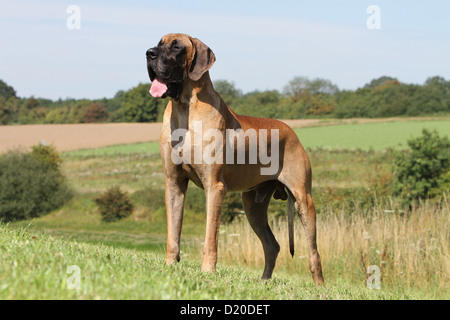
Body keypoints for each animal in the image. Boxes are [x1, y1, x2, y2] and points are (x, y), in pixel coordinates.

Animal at [146, 34, 326, 284]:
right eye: (159, 43)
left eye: (177, 47)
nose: (149, 53)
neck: (184, 109)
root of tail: (293, 132)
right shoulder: (174, 184)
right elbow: (173, 232)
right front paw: (169, 265)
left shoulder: (215, 187)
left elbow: (211, 237)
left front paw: (207, 271)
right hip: (252, 205)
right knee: (272, 245)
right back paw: (264, 282)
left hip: (303, 200)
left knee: (313, 252)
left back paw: (319, 285)